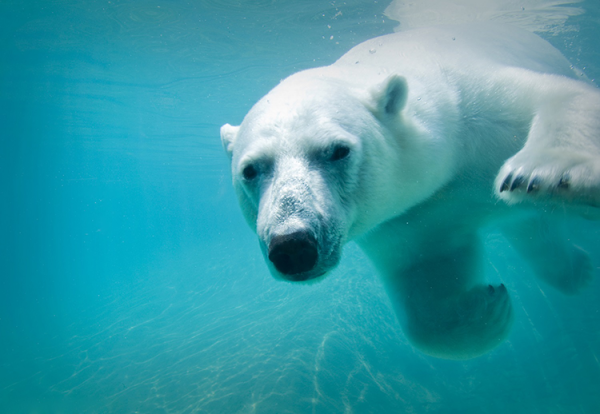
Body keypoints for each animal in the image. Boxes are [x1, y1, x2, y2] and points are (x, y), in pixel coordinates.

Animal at [220, 23, 600, 360]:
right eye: (250, 170)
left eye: (338, 151)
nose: (293, 245)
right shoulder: (412, 218)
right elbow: (426, 285)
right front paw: (488, 306)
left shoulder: (478, 108)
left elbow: (559, 96)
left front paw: (544, 172)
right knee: (533, 231)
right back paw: (578, 270)